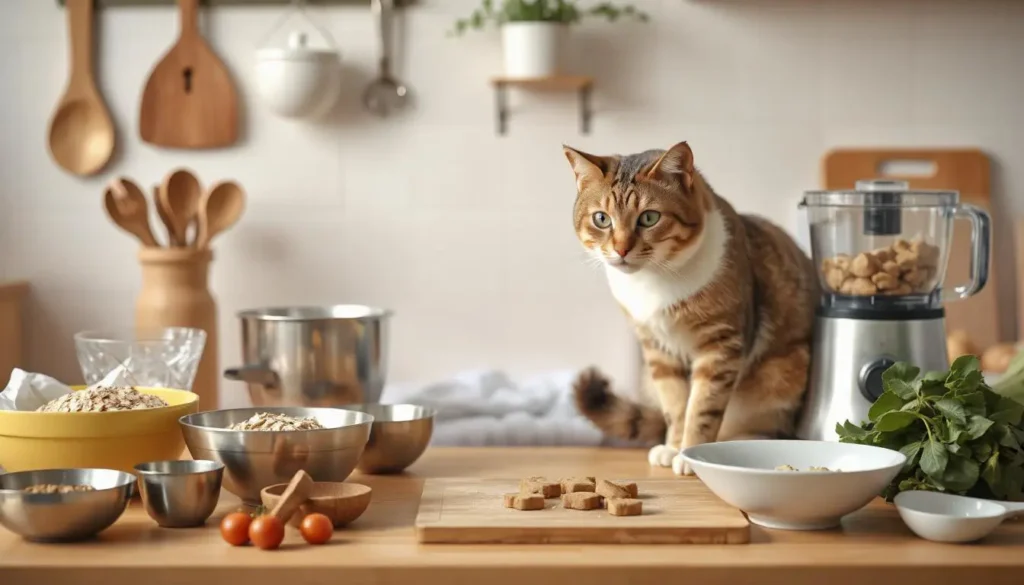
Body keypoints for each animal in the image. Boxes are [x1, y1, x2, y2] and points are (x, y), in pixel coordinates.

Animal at [565, 142, 819, 475]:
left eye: (649, 218)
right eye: (601, 219)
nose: (621, 249)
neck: (654, 282)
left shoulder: (720, 346)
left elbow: (701, 407)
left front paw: (690, 455)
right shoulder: (657, 350)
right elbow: (676, 406)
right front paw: (674, 447)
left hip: (784, 374)